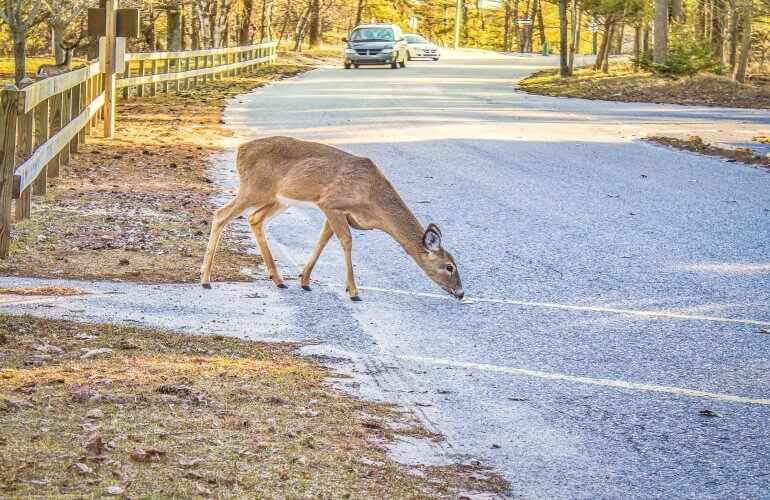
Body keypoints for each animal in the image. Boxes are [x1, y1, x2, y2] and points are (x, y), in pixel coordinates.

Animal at [200, 136, 462, 300]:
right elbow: (346, 242)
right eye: (449, 266)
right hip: (254, 189)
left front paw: (304, 280)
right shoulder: (331, 203)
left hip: (279, 199)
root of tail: (240, 149)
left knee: (255, 219)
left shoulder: (335, 212)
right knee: (221, 214)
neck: (372, 199)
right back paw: (205, 279)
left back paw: (278, 279)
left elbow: (323, 240)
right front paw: (353, 291)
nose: (461, 292)